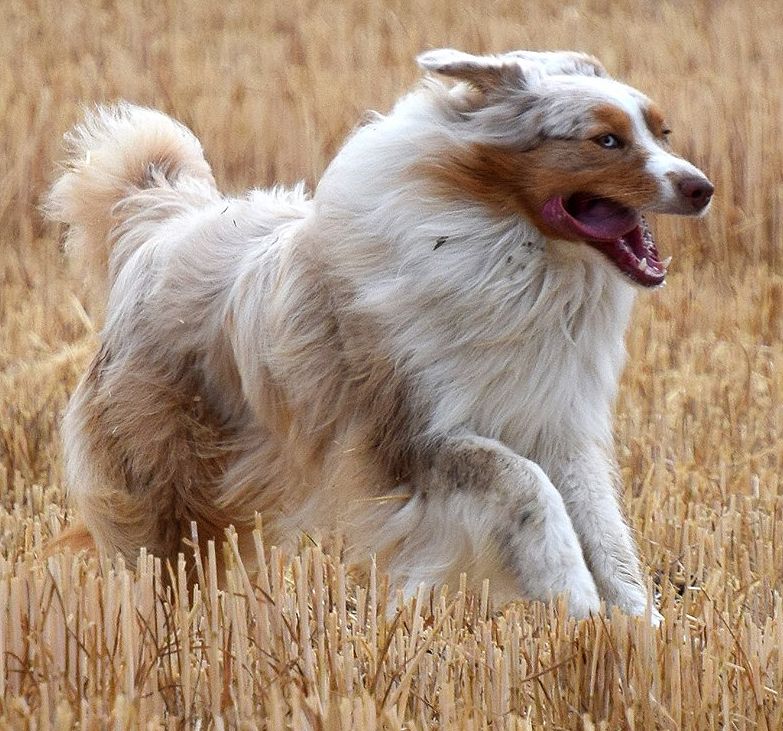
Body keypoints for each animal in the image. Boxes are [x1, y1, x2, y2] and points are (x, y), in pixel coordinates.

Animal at [46, 47, 712, 616]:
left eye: (662, 134)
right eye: (606, 140)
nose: (702, 187)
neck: (518, 256)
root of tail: (159, 228)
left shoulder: (558, 421)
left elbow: (604, 531)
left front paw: (637, 626)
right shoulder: (413, 436)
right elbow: (527, 485)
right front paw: (570, 592)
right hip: (168, 481)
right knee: (161, 562)